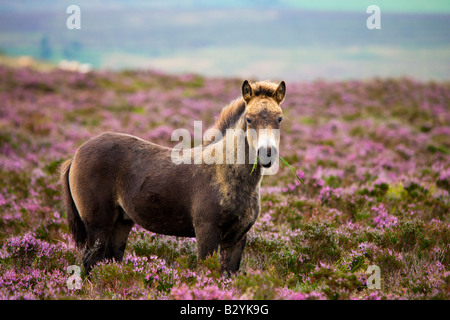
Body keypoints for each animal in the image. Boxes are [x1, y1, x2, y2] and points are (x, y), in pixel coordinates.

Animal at [60, 79, 284, 272]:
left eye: (280, 118)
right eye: (249, 118)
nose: (267, 153)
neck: (225, 173)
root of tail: (76, 154)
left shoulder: (237, 239)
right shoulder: (207, 232)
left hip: (121, 223)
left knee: (110, 260)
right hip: (97, 224)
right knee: (91, 262)